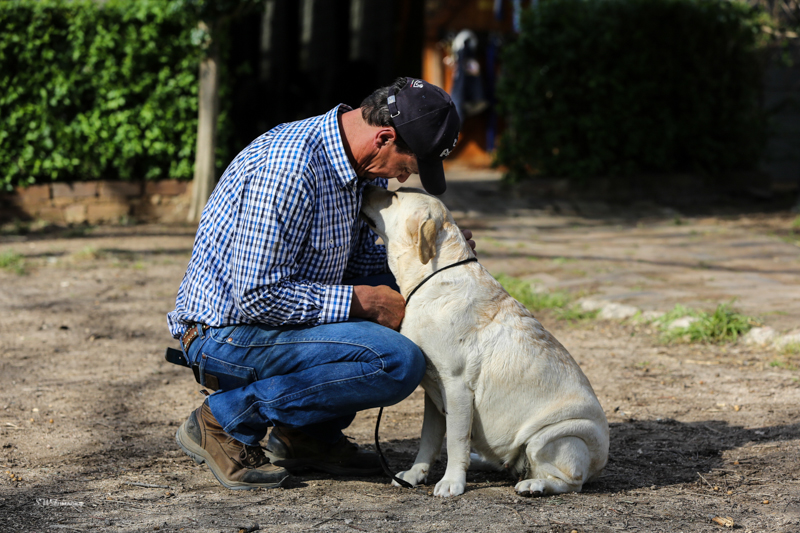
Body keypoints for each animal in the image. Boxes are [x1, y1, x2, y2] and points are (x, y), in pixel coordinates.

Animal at [360, 185, 608, 496]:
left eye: (393, 196)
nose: (362, 186)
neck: (431, 276)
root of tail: (599, 463)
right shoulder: (433, 391)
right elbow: (429, 439)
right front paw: (416, 473)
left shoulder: (456, 385)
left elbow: (455, 440)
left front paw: (451, 482)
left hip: (555, 435)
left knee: (570, 481)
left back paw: (534, 484)